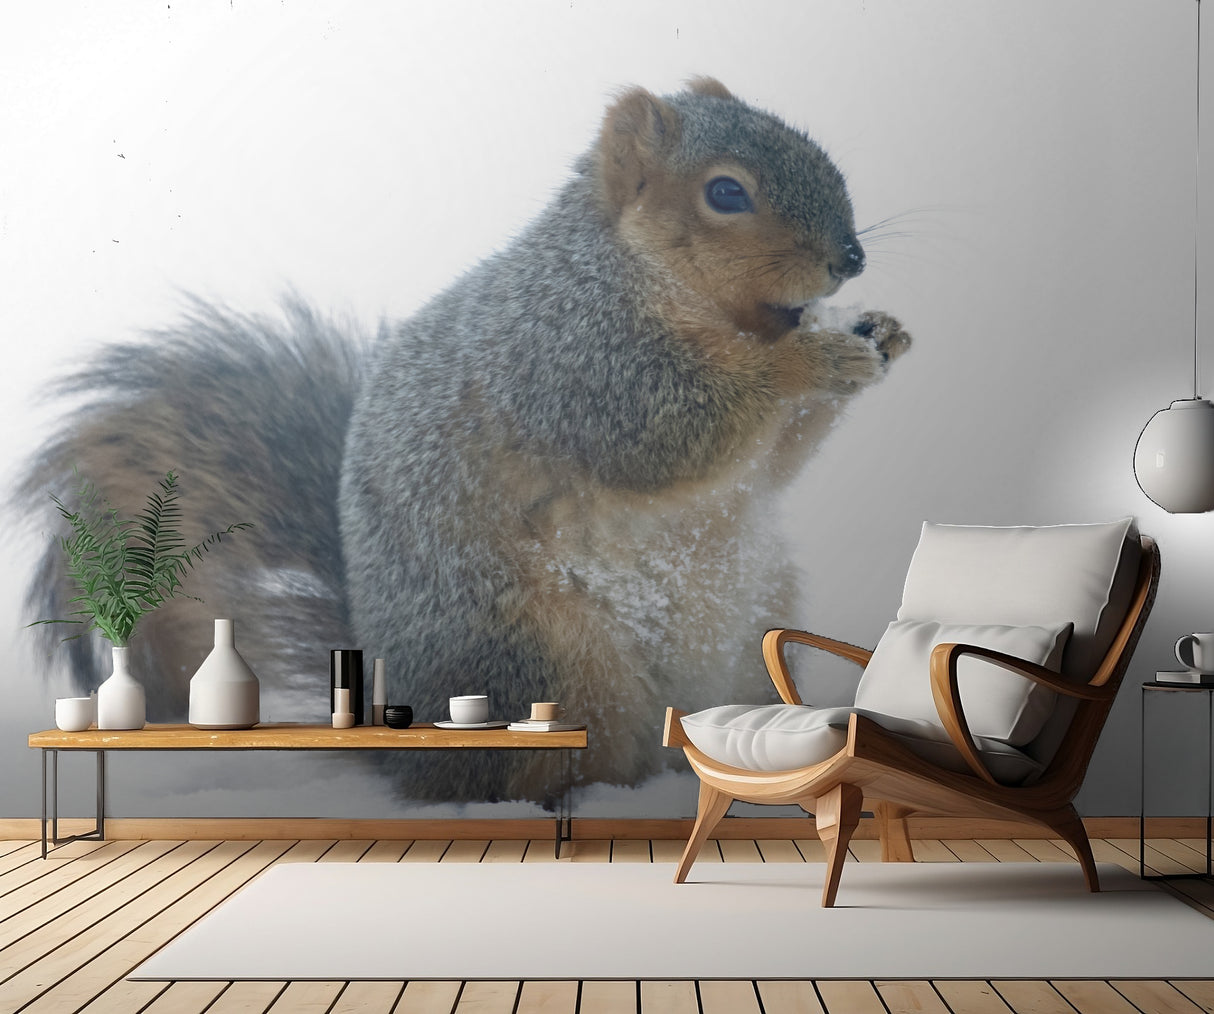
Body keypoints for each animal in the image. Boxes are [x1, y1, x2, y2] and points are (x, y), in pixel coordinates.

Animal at [18, 77, 910, 804]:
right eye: (725, 192)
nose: (851, 259)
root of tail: (403, 751)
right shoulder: (576, 363)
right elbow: (674, 431)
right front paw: (814, 357)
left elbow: (772, 463)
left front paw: (878, 334)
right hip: (541, 660)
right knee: (535, 772)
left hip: (755, 635)